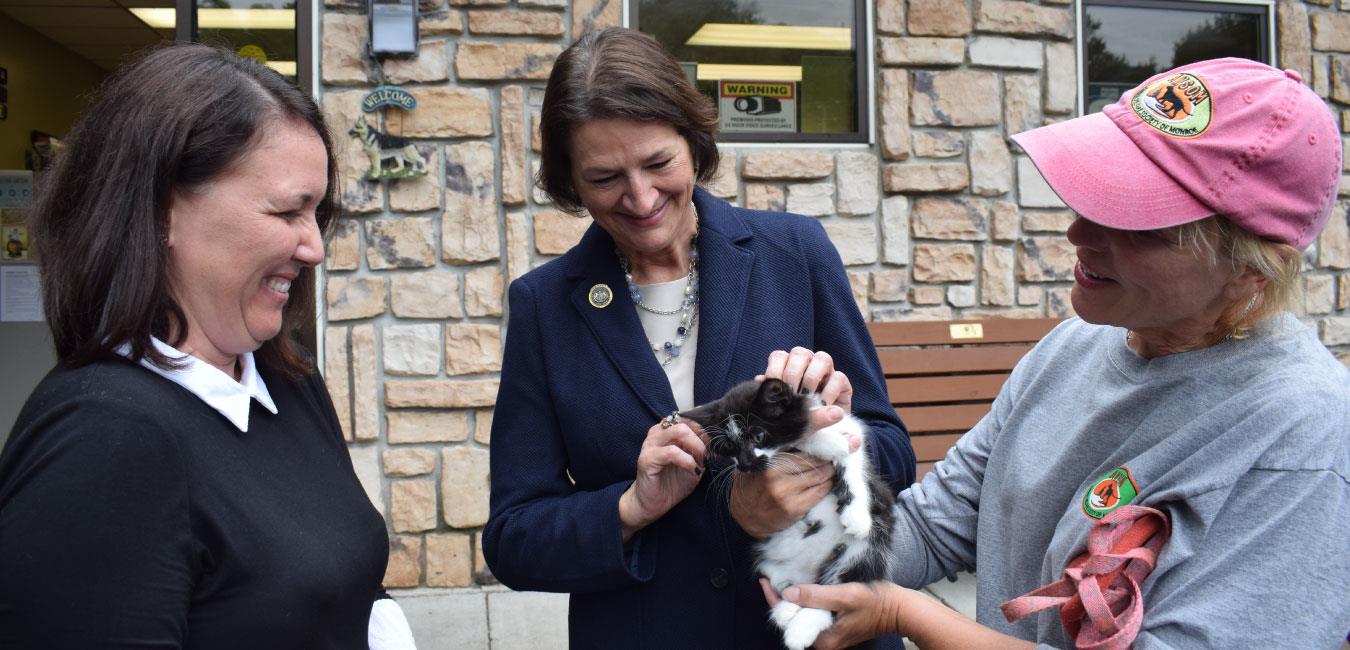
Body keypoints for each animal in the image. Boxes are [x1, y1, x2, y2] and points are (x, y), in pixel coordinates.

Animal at [685, 378, 896, 645]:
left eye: (759, 435)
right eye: (730, 446)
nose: (745, 465)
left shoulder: (852, 430)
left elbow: (852, 461)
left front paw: (856, 517)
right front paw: (825, 440)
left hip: (866, 550)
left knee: (835, 590)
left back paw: (803, 625)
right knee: (789, 582)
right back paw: (787, 611)